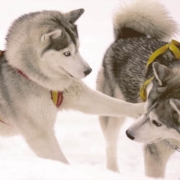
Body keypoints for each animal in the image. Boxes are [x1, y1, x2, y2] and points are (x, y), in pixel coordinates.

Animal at [0, 9, 145, 165]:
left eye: (78, 49)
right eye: (67, 53)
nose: (88, 71)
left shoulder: (76, 93)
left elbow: (114, 103)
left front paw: (142, 109)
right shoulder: (41, 135)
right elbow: (60, 160)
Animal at [96, 0, 179, 177]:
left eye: (157, 122)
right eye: (147, 109)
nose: (129, 134)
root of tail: (127, 36)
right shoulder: (156, 152)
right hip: (113, 112)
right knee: (110, 146)